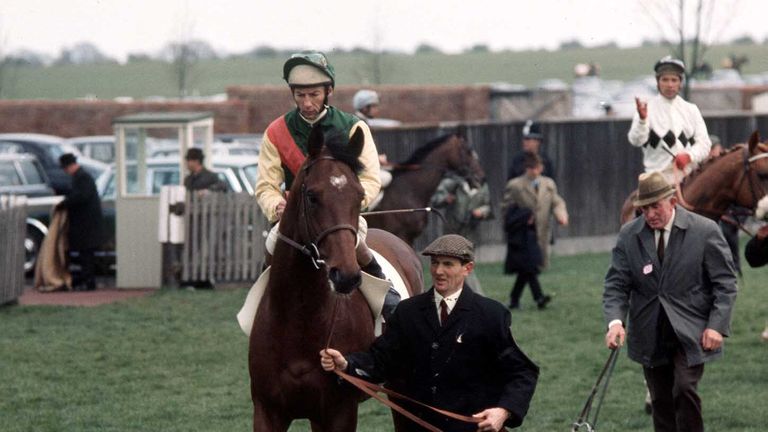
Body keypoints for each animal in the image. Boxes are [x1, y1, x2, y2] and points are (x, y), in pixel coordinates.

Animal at [248, 125, 420, 432]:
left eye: (359, 196)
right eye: (313, 196)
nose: (346, 276)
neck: (299, 322)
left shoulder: (338, 411)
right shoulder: (268, 411)